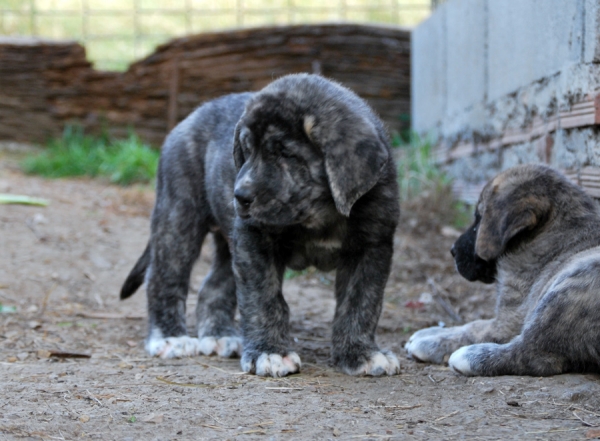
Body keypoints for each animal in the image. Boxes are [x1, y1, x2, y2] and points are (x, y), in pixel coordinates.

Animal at [119, 74, 400, 376]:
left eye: (285, 154)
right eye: (247, 150)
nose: (239, 195)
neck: (318, 214)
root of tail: (189, 117)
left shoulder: (371, 246)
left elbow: (361, 301)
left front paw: (361, 353)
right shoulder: (255, 239)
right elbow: (263, 299)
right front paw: (270, 352)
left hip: (228, 240)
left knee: (213, 286)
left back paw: (218, 335)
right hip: (178, 216)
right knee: (164, 276)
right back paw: (170, 337)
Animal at [404, 163, 600, 376]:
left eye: (479, 219)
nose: (452, 251)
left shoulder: (509, 320)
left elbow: (474, 330)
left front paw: (431, 342)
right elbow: (472, 323)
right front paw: (430, 331)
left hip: (569, 288)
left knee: (533, 353)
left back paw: (470, 356)